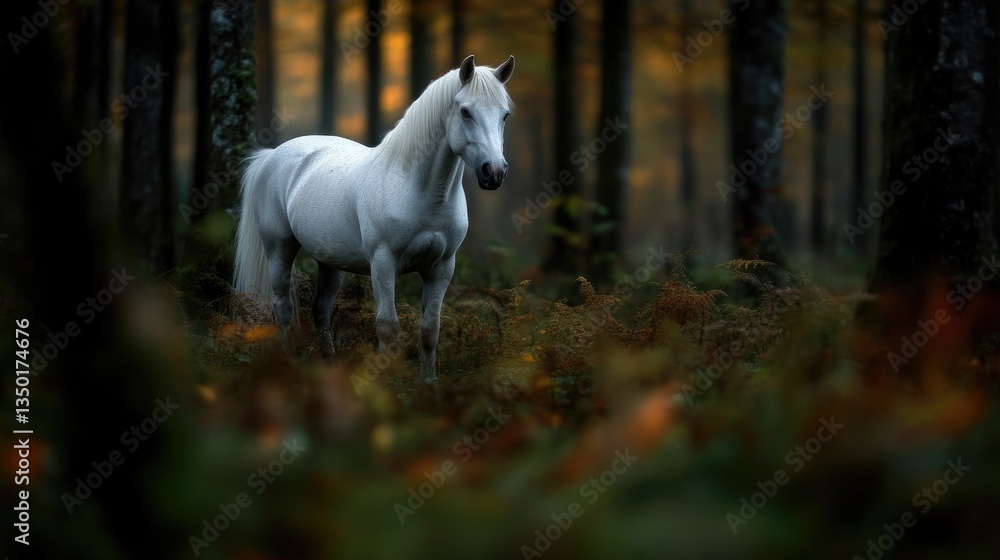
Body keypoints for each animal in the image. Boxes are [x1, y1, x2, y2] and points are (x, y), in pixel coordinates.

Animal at [233, 54, 515, 382]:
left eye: (505, 115)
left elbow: (430, 328)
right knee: (283, 308)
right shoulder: (383, 263)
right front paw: (386, 381)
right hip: (279, 248)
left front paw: (428, 381)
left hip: (330, 261)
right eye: (466, 112)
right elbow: (387, 326)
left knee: (321, 309)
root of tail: (272, 155)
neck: (418, 190)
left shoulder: (442, 268)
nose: (494, 172)